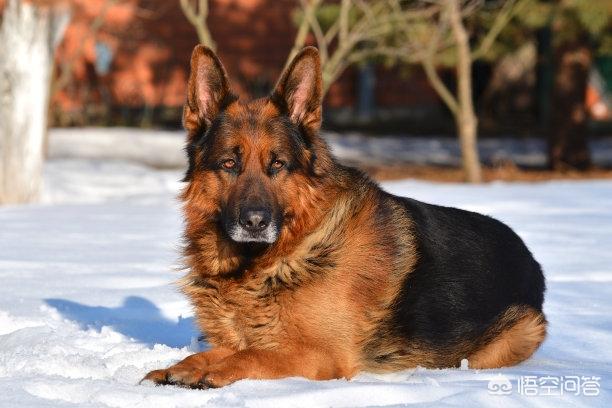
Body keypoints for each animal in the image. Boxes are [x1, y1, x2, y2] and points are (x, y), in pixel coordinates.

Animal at [142, 46, 544, 388]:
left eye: (278, 165)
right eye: (229, 164)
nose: (254, 222)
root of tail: (528, 256)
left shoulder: (320, 355)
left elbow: (250, 356)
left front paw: (212, 373)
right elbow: (212, 352)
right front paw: (182, 367)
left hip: (514, 336)